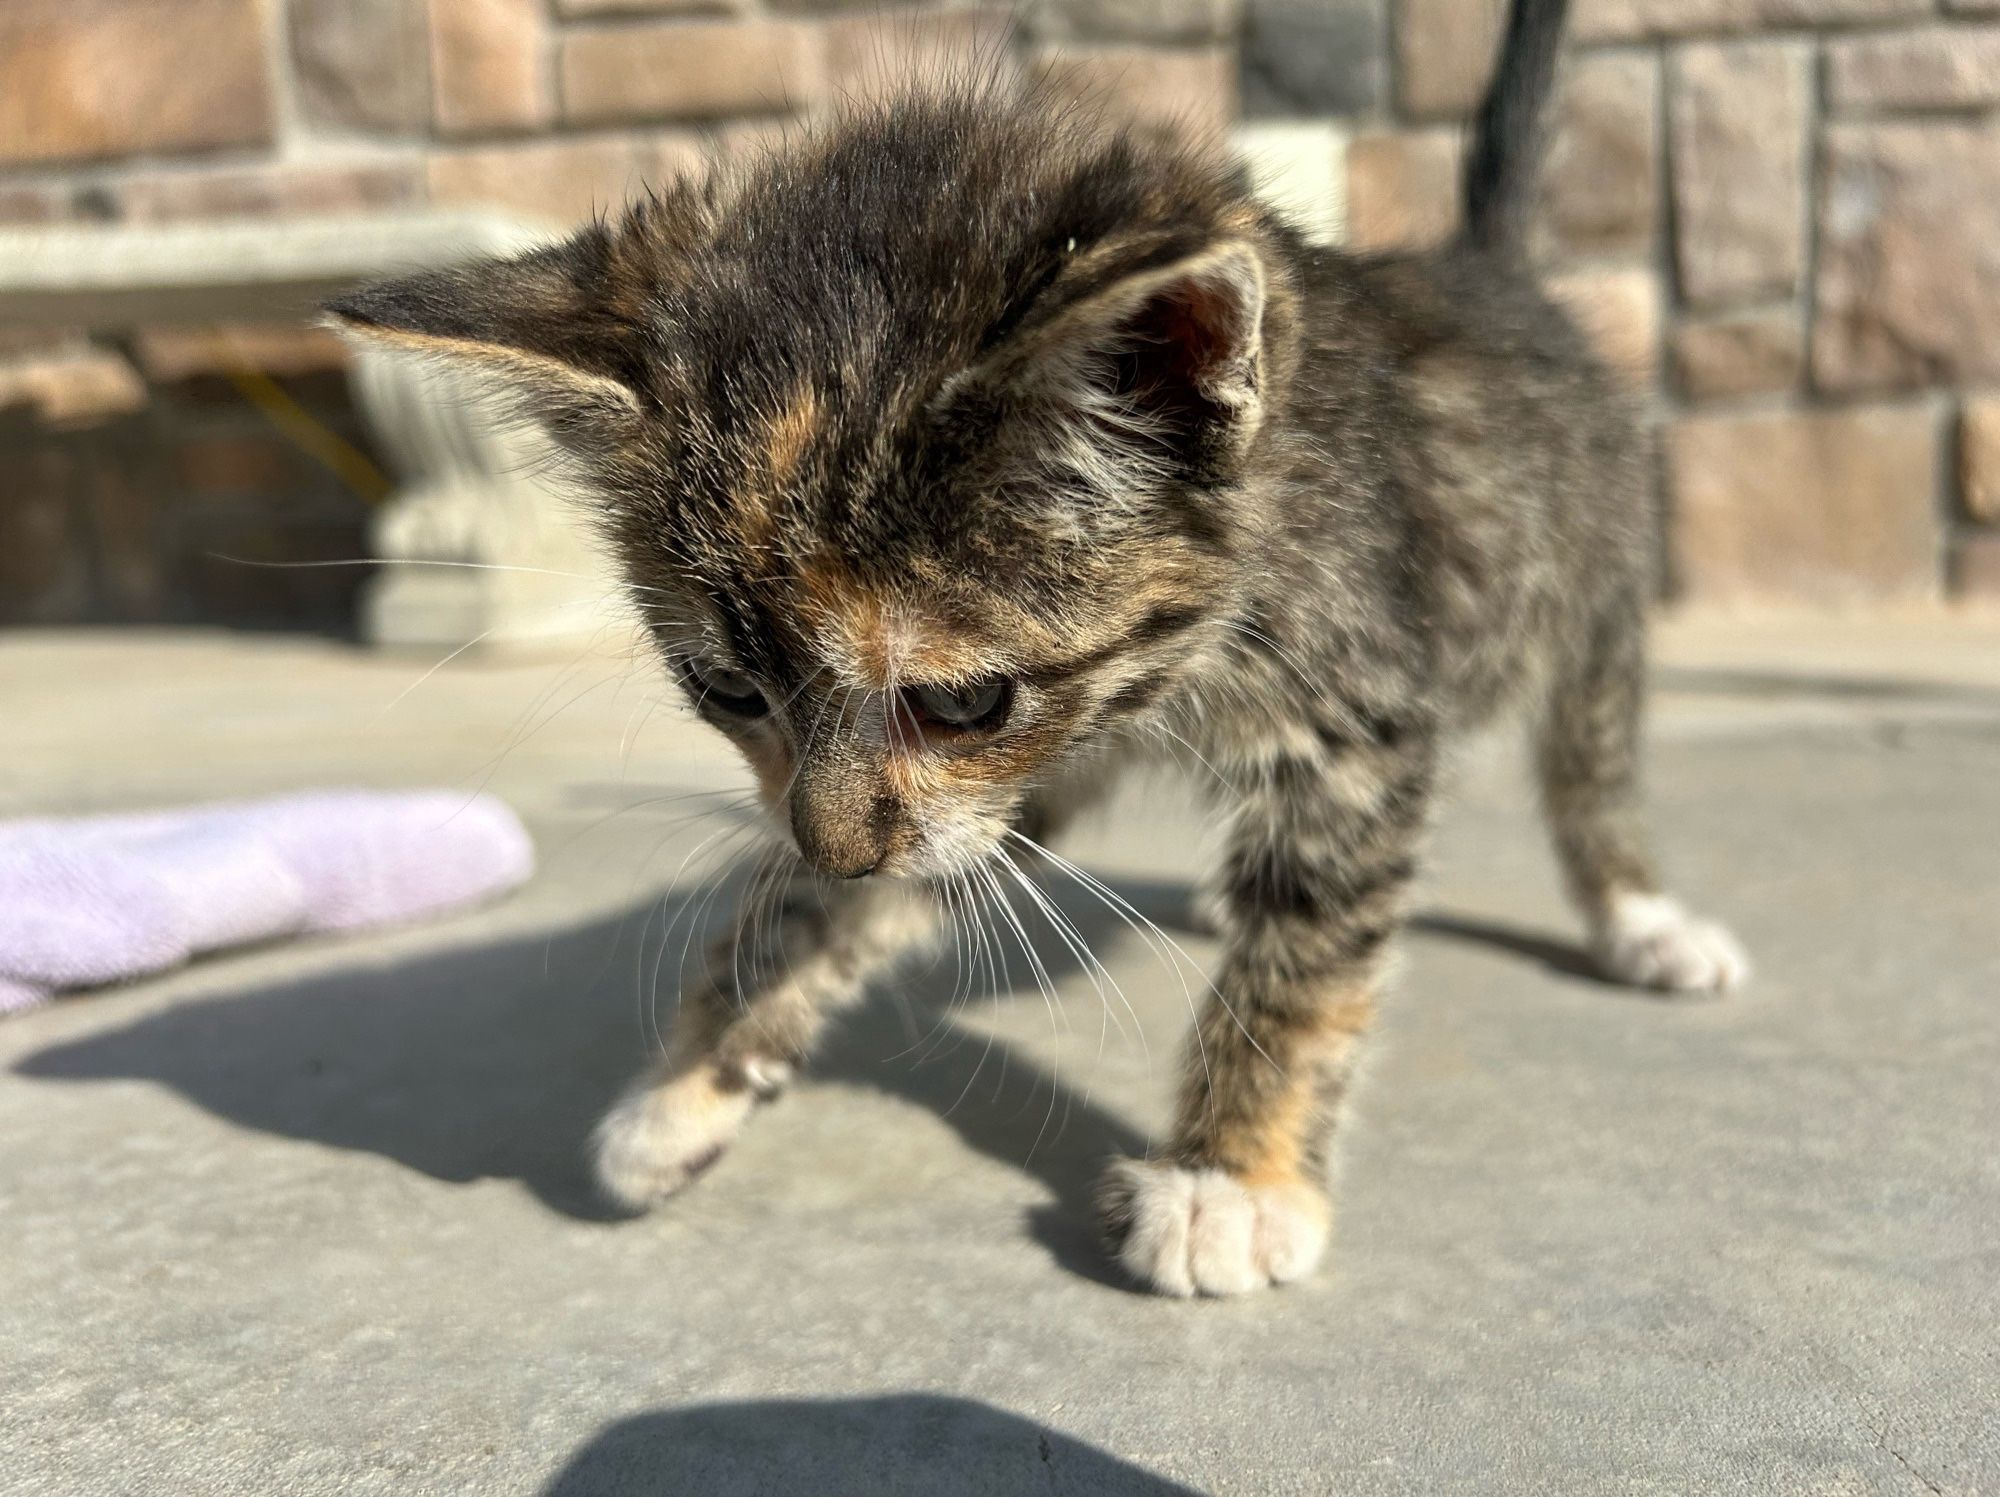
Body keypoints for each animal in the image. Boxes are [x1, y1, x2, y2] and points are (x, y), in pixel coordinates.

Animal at [324, 0, 1736, 1288]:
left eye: (961, 701)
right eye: (725, 688)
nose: (830, 844)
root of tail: (1489, 270)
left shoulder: (1355, 712)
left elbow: (1310, 938)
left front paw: (1230, 1175)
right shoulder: (988, 793)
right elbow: (816, 902)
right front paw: (688, 1085)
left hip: (1595, 585)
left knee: (1590, 754)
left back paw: (1638, 913)